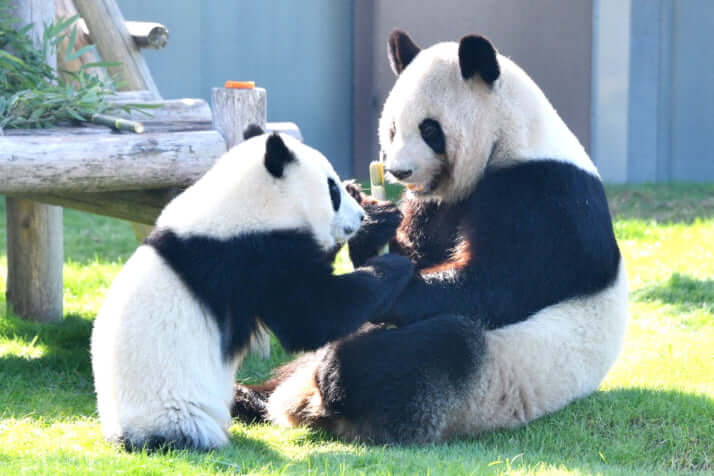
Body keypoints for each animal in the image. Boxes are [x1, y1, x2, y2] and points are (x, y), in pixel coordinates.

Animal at [90, 125, 412, 450]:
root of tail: (123, 436)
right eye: (332, 190)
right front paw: (393, 261)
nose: (358, 216)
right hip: (175, 414)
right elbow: (311, 316)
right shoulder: (251, 258)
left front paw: (374, 219)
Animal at [231, 31, 624, 444]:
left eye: (430, 129)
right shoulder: (436, 203)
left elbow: (493, 284)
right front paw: (372, 221)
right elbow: (421, 251)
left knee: (437, 348)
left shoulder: (547, 197)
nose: (399, 172)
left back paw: (337, 373)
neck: (514, 135)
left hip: (497, 374)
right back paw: (249, 398)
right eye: (391, 128)